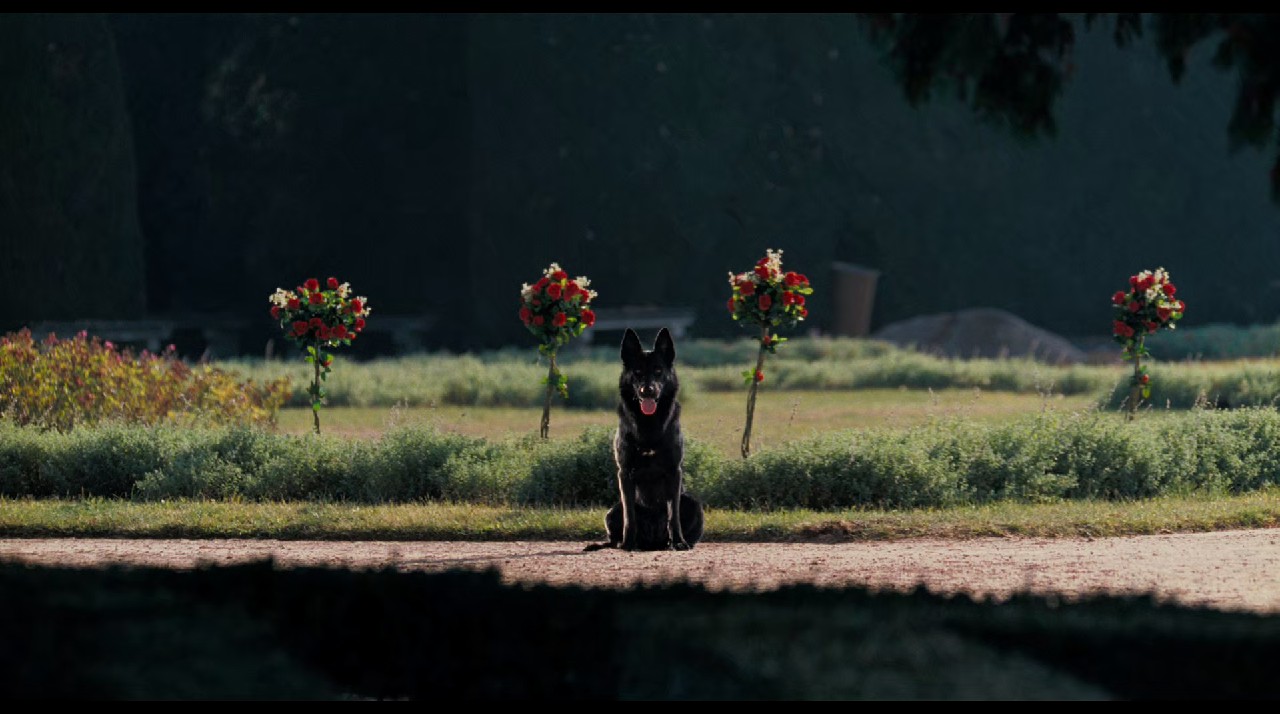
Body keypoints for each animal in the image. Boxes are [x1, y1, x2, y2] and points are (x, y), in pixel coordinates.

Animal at [586, 330, 706, 555]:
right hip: (612, 511)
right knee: (615, 532)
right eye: (638, 372)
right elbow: (630, 517)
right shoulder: (624, 473)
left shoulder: (674, 472)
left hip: (693, 504)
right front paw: (628, 544)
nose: (647, 391)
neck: (649, 424)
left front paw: (678, 542)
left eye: (658, 371)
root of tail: (653, 543)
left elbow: (673, 516)